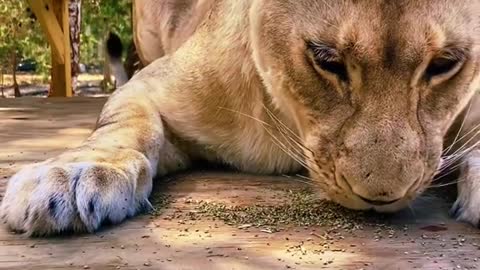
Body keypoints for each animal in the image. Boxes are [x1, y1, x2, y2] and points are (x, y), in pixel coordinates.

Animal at [0, 0, 480, 235]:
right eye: (325, 59)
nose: (380, 197)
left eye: (445, 64)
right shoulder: (150, 86)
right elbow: (125, 127)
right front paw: (73, 177)